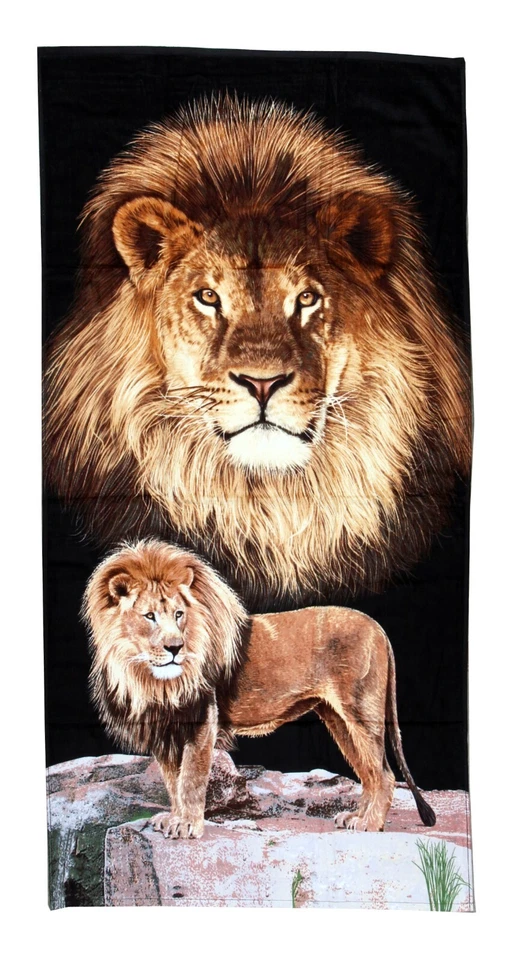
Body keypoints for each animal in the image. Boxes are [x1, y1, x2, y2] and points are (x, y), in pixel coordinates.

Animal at [84, 540, 436, 838]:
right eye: (149, 616)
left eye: (179, 614)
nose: (175, 647)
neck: (151, 678)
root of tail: (378, 628)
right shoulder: (165, 729)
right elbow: (173, 781)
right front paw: (173, 818)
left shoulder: (202, 721)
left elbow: (191, 779)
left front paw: (187, 825)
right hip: (338, 719)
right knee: (369, 772)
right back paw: (355, 817)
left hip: (361, 711)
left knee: (385, 774)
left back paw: (370, 824)